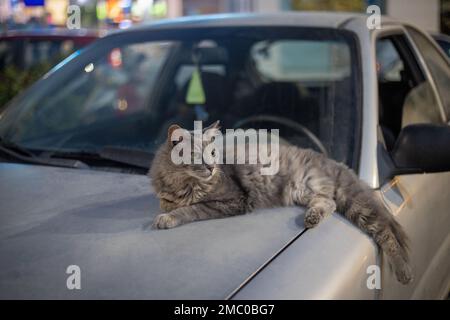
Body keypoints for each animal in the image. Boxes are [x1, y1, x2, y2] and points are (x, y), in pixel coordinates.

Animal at [149, 121, 414, 284]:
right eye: (196, 155)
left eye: (213, 154)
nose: (212, 167)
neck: (182, 184)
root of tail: (331, 161)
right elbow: (174, 204)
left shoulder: (233, 200)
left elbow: (192, 209)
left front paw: (167, 218)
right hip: (305, 191)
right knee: (328, 202)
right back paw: (312, 218)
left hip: (349, 202)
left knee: (385, 231)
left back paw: (404, 272)